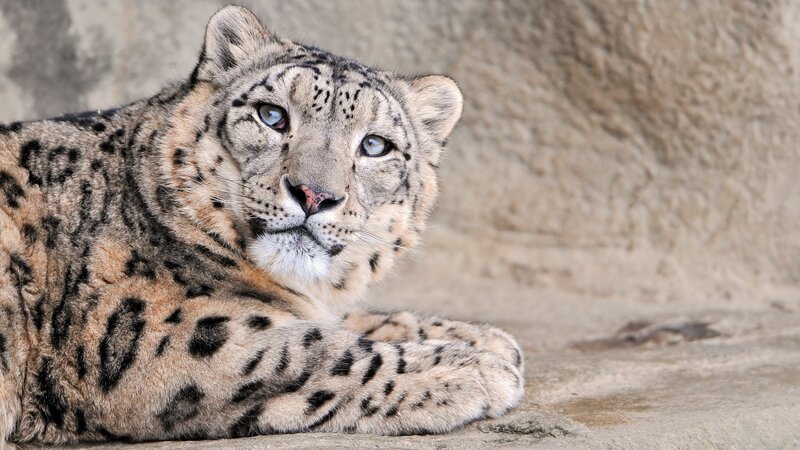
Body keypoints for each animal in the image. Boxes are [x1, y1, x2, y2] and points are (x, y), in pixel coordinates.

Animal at [0, 6, 524, 445]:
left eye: (375, 145)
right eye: (272, 116)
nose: (314, 194)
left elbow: (351, 321)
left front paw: (483, 337)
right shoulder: (158, 336)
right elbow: (315, 351)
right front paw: (476, 366)